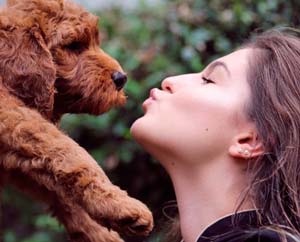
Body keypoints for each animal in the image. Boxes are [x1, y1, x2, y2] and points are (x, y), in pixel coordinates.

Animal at [0, 0, 154, 241]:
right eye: (73, 46)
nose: (121, 78)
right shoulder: (10, 115)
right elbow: (67, 149)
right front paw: (122, 206)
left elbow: (59, 186)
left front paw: (103, 232)